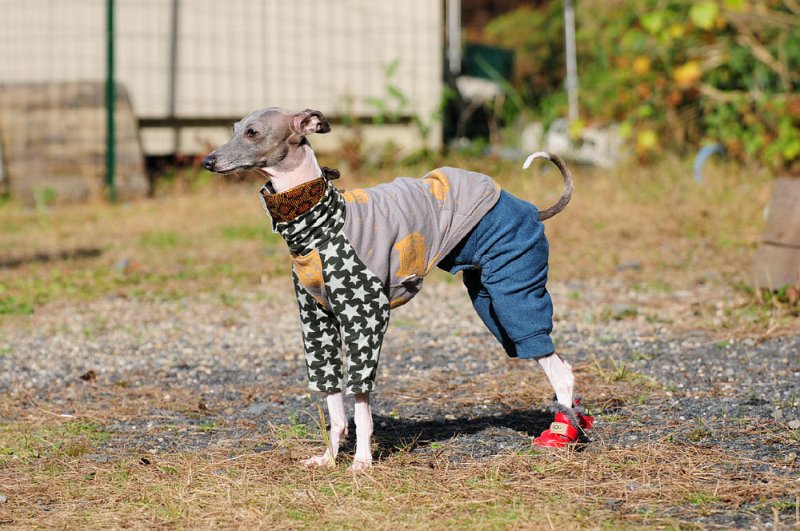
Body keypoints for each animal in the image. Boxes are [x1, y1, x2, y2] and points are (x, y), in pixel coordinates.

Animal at [202, 107, 592, 471]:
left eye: (253, 133)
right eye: (234, 129)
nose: (208, 160)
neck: (319, 223)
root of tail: (530, 208)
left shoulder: (366, 318)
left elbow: (361, 405)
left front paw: (361, 462)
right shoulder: (317, 321)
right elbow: (334, 403)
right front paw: (329, 458)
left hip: (511, 288)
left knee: (558, 367)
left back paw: (560, 435)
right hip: (489, 300)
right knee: (554, 359)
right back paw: (573, 423)